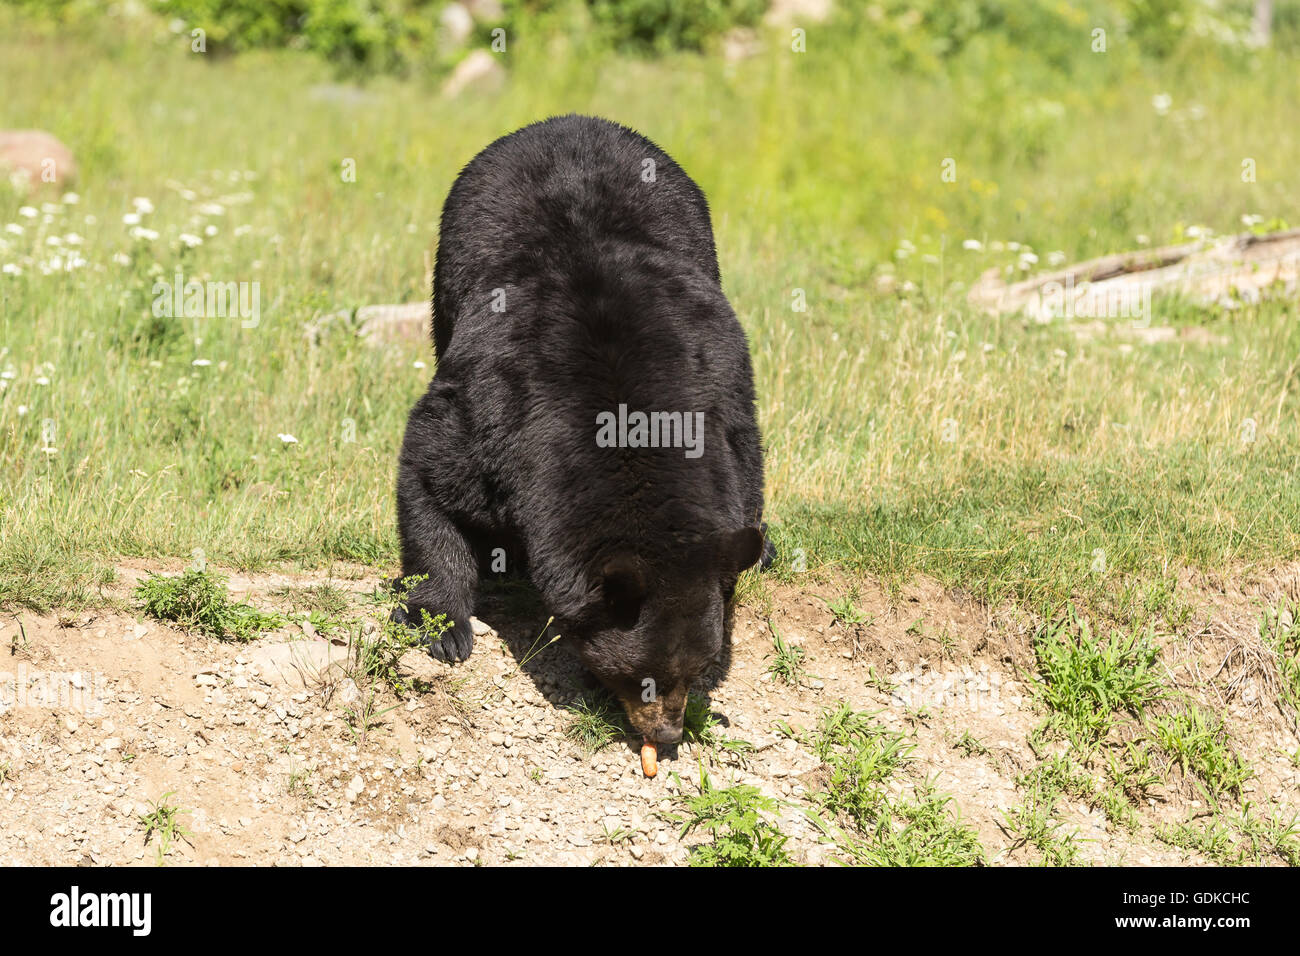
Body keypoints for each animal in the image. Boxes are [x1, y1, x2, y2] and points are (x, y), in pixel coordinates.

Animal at [393, 114, 772, 745]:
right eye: (642, 678)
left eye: (695, 668)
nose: (666, 736)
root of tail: (569, 120)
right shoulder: (492, 417)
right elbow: (429, 475)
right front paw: (443, 624)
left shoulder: (721, 400)